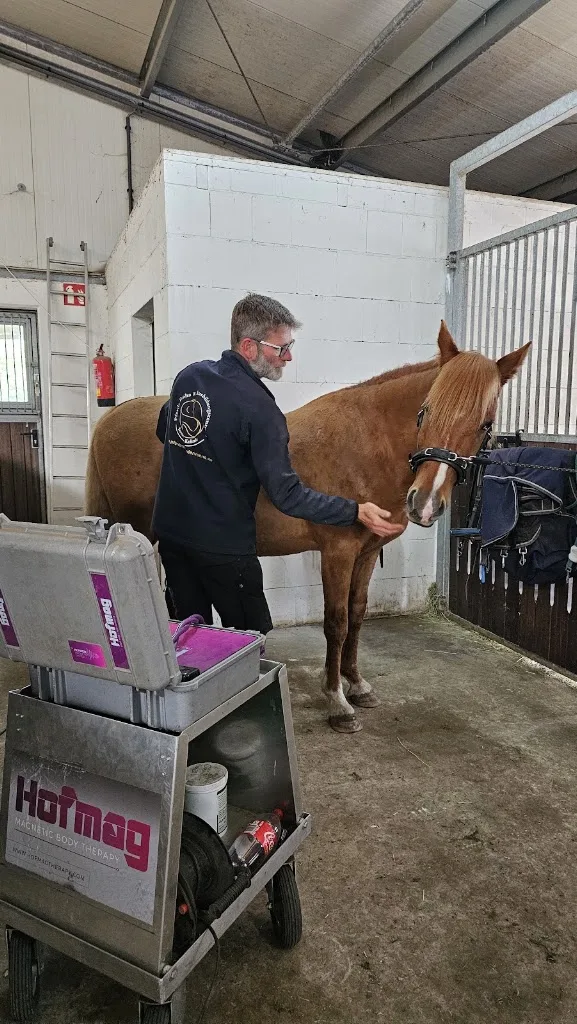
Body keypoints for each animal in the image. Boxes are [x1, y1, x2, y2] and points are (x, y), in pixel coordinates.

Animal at [85, 322, 529, 733]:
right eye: (426, 410)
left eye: (484, 424)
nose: (424, 503)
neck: (368, 444)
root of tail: (111, 419)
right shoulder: (337, 553)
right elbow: (336, 622)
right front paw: (337, 701)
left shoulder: (367, 553)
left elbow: (357, 613)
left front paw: (356, 684)